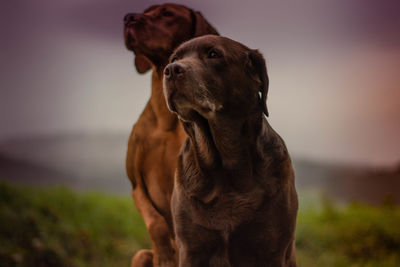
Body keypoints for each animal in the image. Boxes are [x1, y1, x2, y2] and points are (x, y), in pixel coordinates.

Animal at [123, 3, 219, 267]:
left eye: (167, 13)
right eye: (146, 10)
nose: (128, 18)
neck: (165, 118)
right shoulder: (136, 187)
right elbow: (156, 223)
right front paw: (165, 255)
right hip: (139, 255)